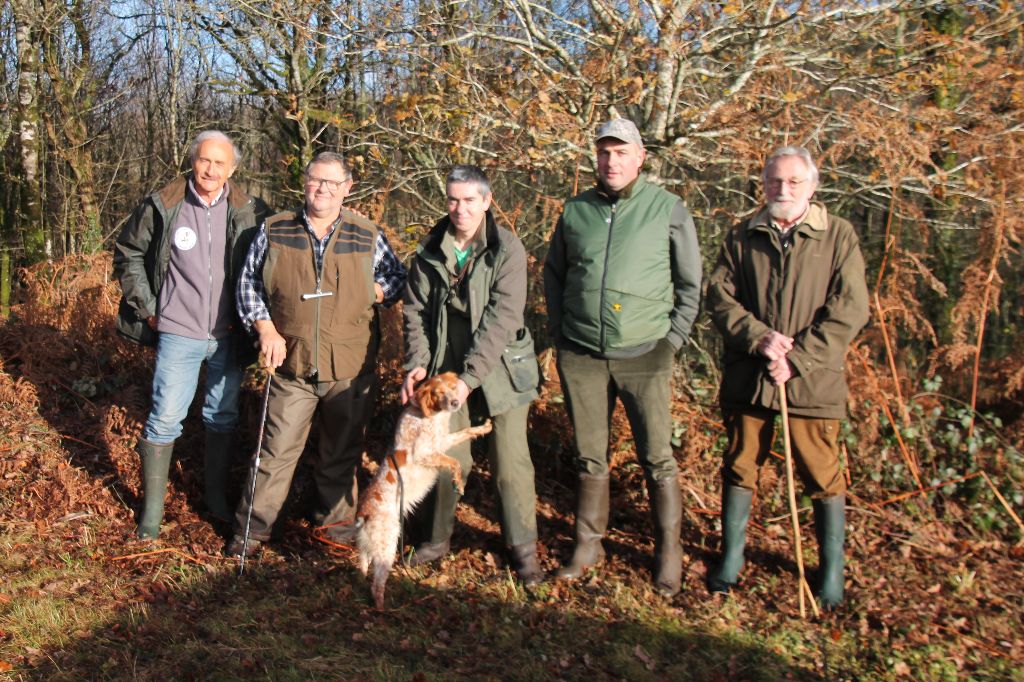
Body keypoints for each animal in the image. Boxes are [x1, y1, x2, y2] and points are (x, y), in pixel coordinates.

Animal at [356, 372, 491, 606]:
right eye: (439, 393)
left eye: (453, 388)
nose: (455, 402)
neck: (427, 415)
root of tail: (364, 512)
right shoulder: (425, 452)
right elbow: (454, 462)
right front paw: (458, 483)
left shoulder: (443, 441)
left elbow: (466, 432)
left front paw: (483, 428)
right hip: (387, 544)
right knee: (377, 583)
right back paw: (383, 607)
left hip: (369, 546)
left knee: (363, 568)